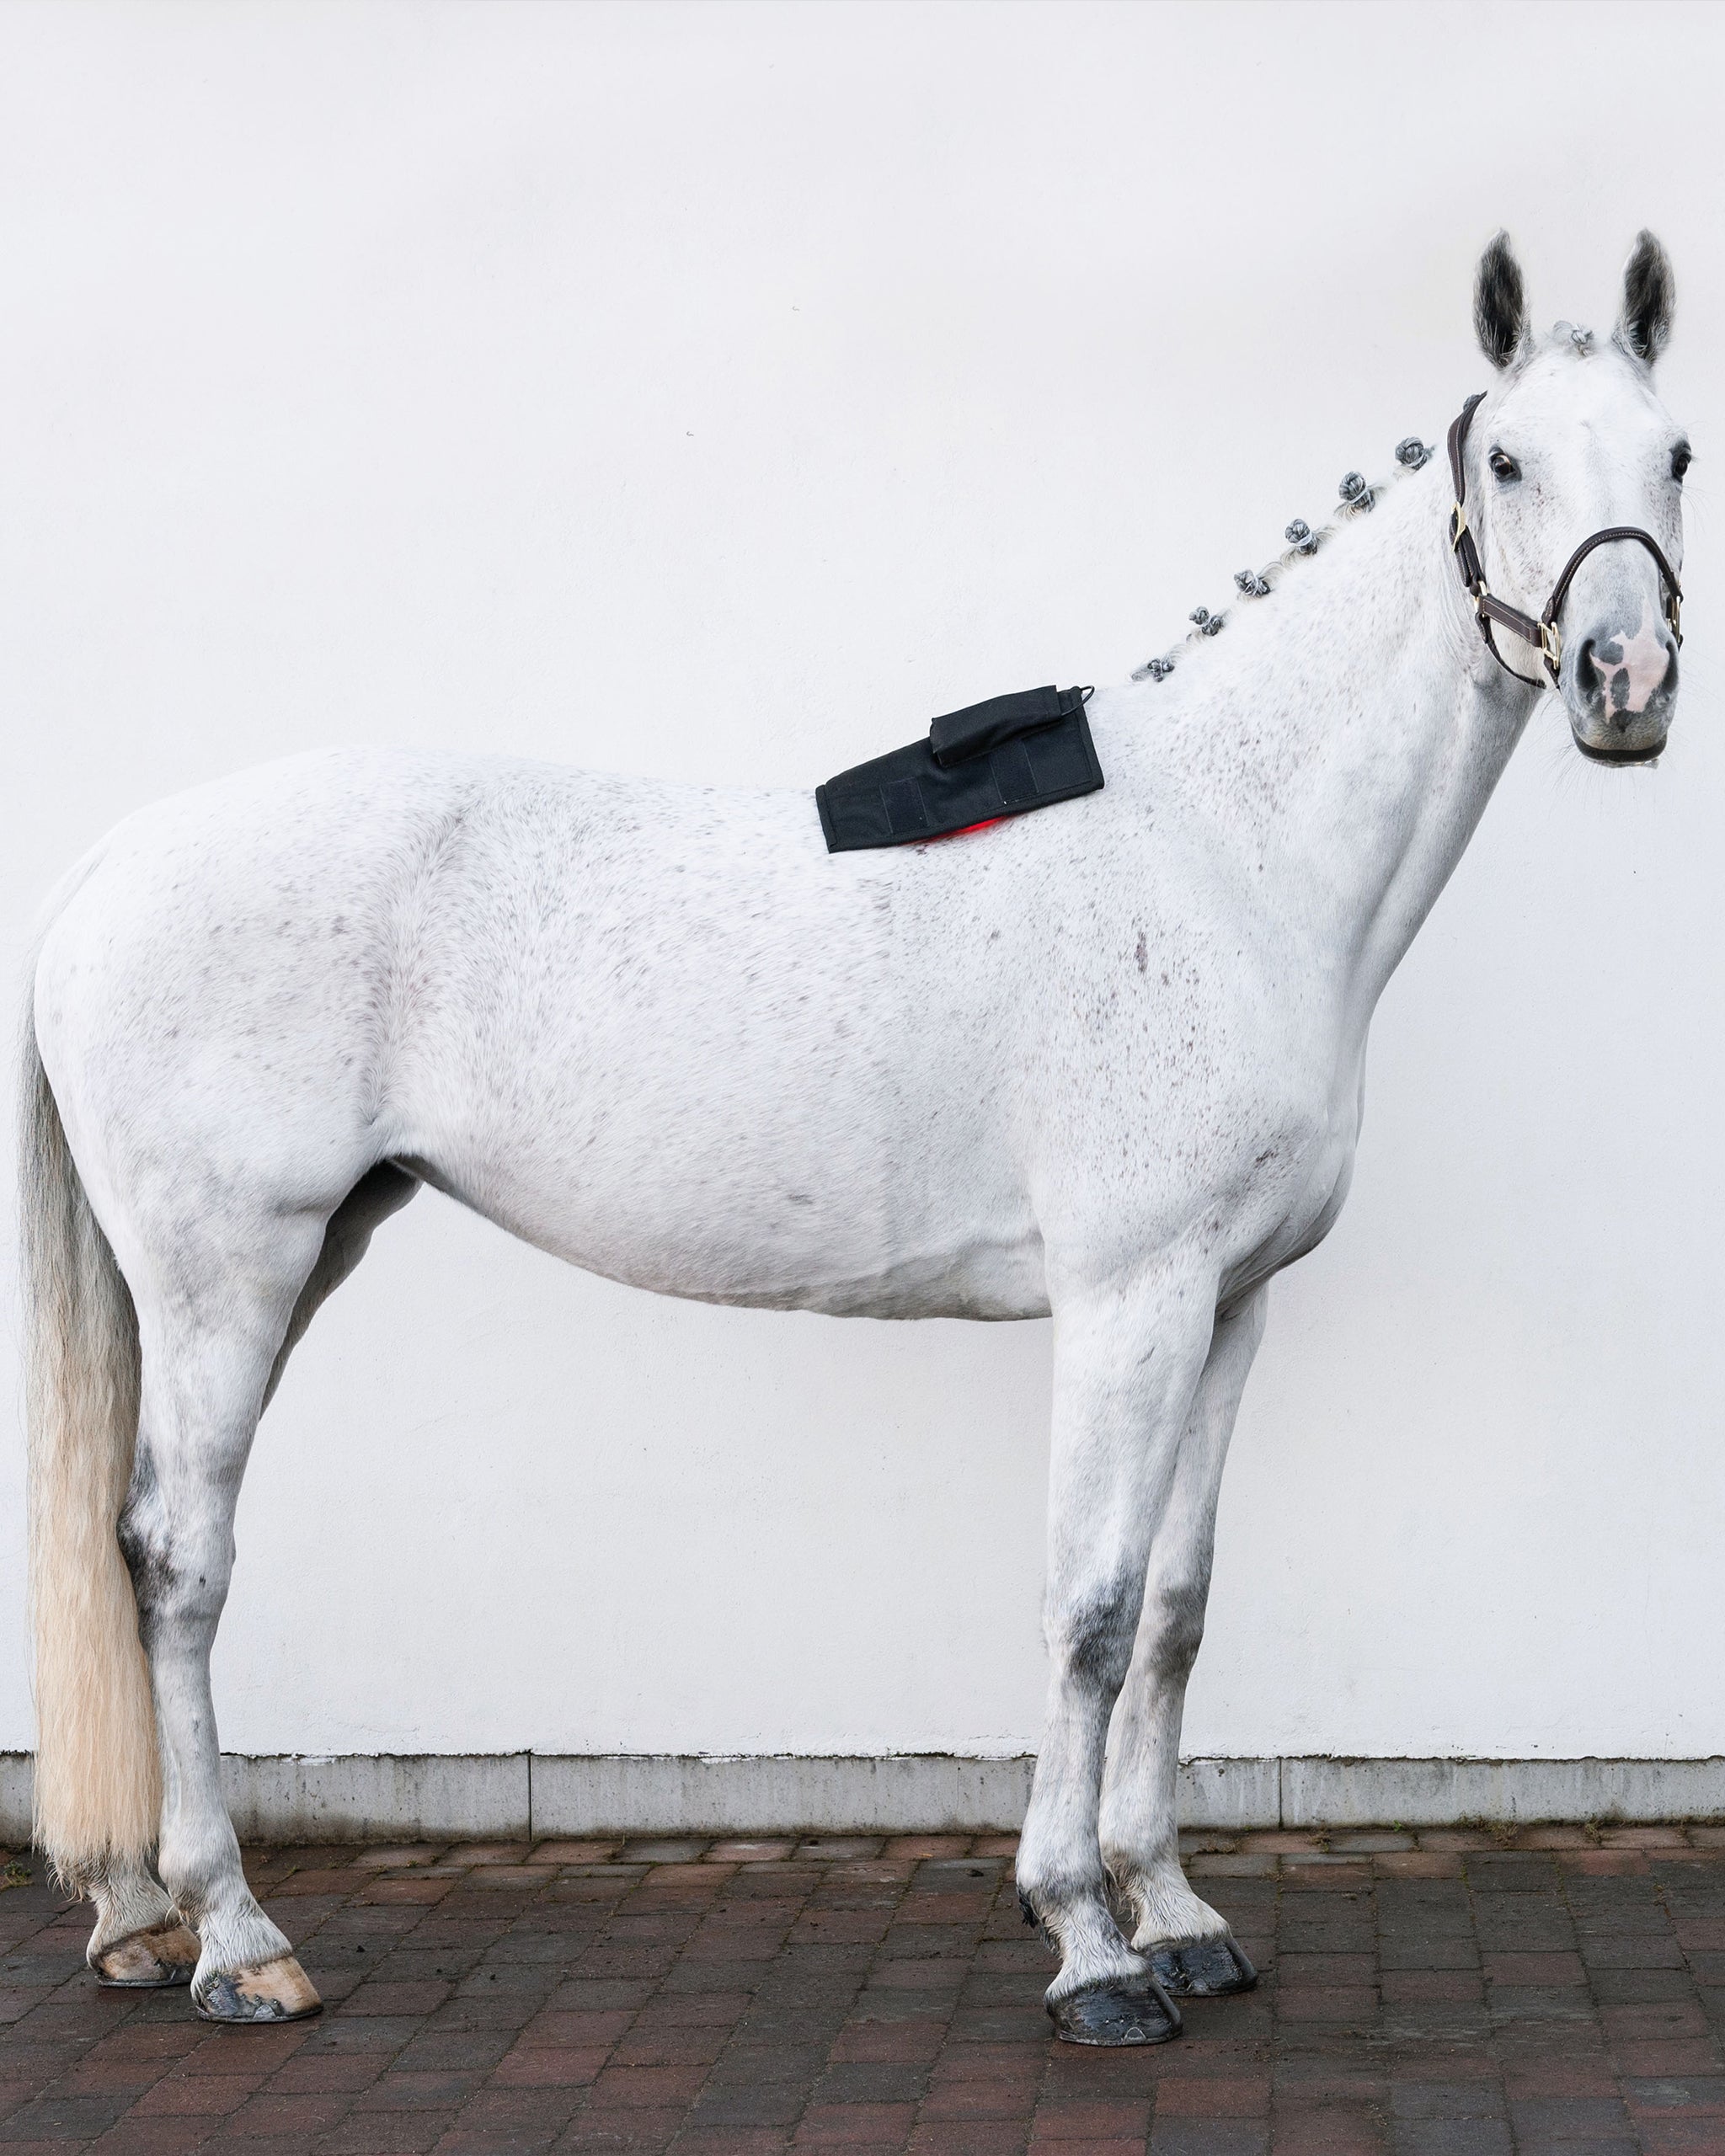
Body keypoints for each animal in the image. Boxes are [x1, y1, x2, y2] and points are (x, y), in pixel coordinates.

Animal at [21, 232, 1688, 2042]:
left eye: (1674, 452)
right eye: (1507, 460)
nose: (1622, 684)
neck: (1223, 853)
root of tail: (103, 864)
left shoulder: (1231, 1304)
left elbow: (1175, 1612)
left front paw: (1176, 1914)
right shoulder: (1130, 1300)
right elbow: (1090, 1607)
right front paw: (1087, 1945)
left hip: (298, 1252)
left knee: (130, 1548)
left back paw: (133, 1919)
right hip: (227, 1276)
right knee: (177, 1560)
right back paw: (236, 1938)